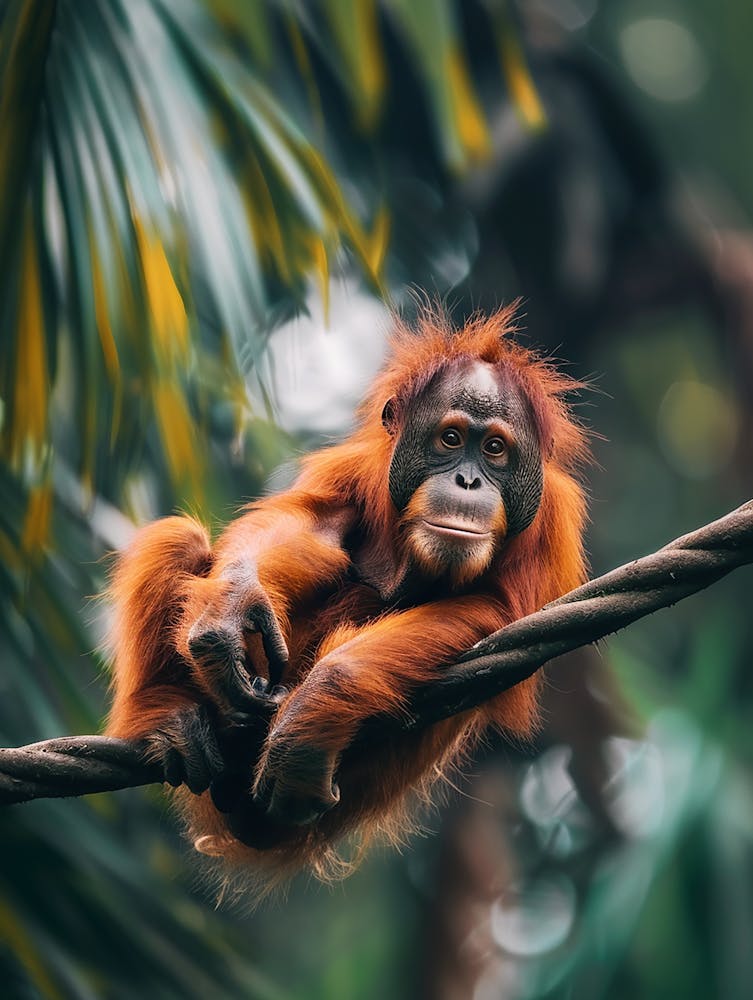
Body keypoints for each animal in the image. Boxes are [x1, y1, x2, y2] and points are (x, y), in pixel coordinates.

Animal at [105, 305, 589, 887]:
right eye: (451, 439)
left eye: (495, 449)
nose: (469, 482)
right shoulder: (357, 471)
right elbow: (313, 527)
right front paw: (233, 609)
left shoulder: (549, 531)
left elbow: (495, 611)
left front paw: (307, 722)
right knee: (180, 537)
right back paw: (165, 717)